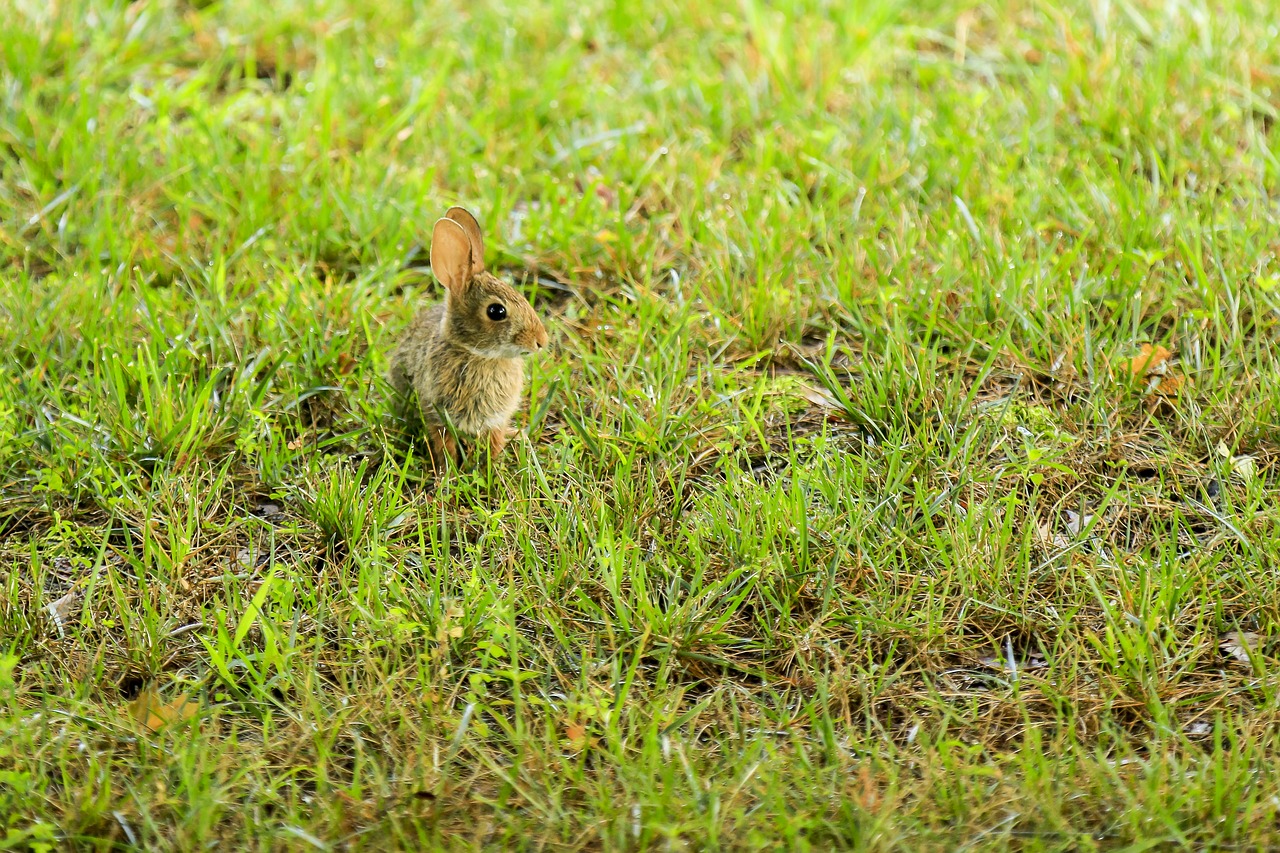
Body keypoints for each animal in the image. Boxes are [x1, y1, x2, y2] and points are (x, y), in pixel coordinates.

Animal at [389, 206, 550, 468]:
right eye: (496, 311)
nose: (541, 341)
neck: (479, 355)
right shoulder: (436, 414)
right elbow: (444, 444)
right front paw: (447, 471)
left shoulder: (496, 419)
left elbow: (493, 442)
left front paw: (488, 468)